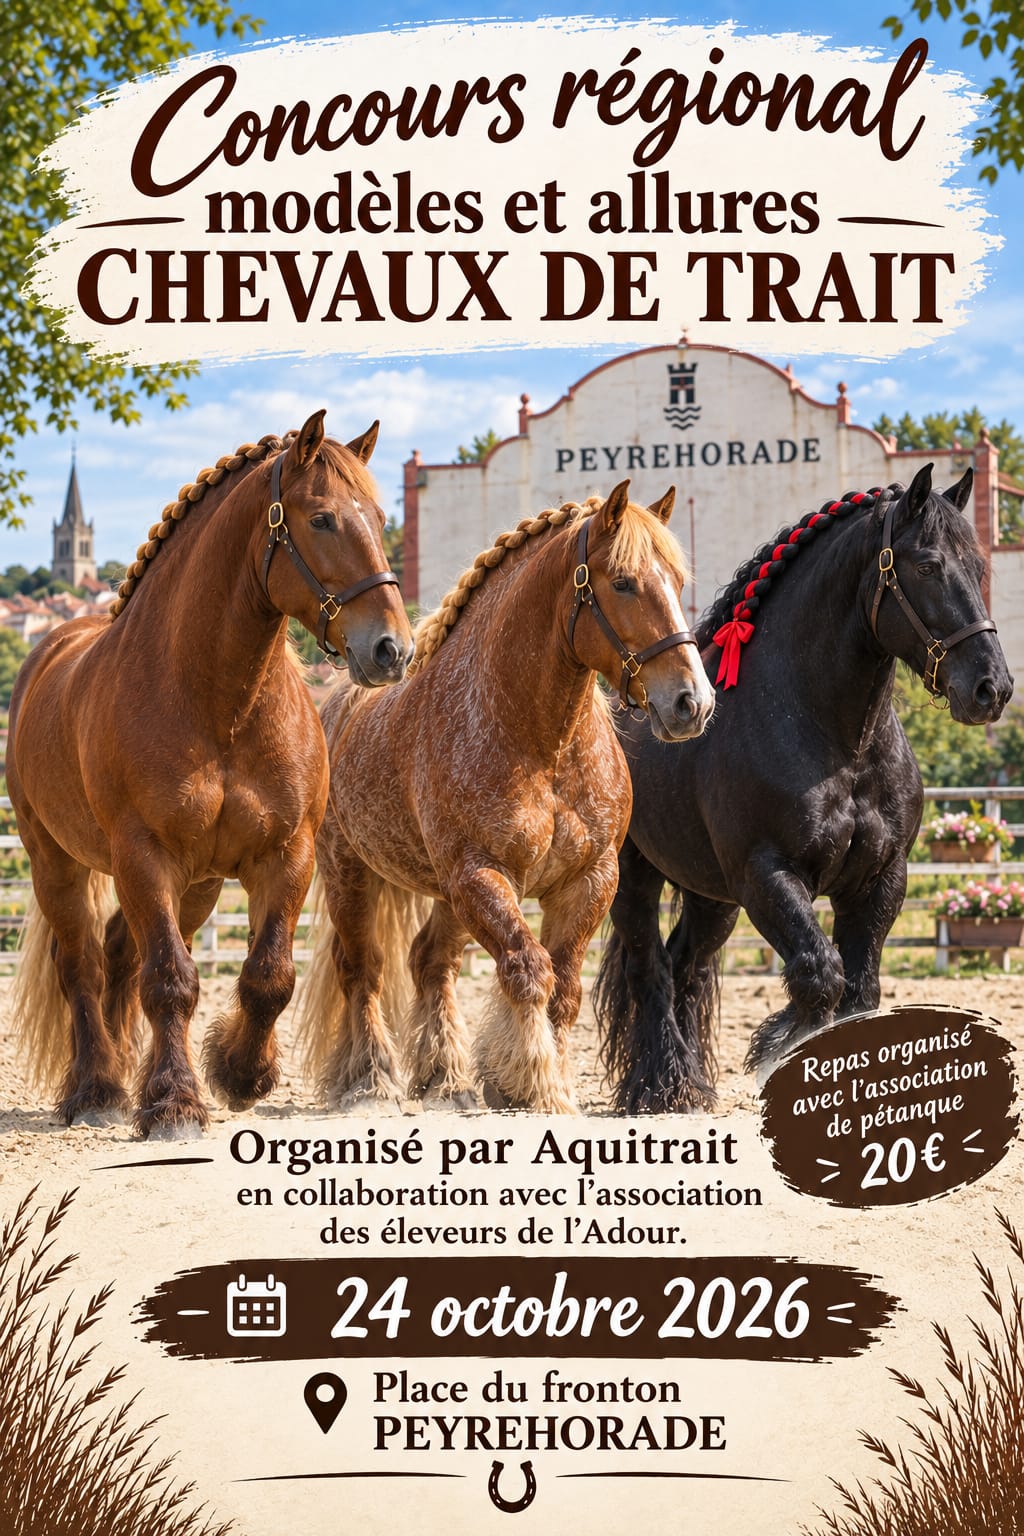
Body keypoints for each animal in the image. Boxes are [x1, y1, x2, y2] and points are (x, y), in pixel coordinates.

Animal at [8, 410, 413, 1136]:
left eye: (377, 514)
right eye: (321, 519)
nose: (393, 649)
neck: (219, 704)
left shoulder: (286, 856)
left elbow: (268, 976)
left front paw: (239, 1072)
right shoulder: (145, 857)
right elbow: (171, 980)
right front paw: (174, 1102)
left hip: (195, 886)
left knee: (120, 954)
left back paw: (124, 1075)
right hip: (55, 860)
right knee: (81, 965)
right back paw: (95, 1088)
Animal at [298, 481, 715, 1113]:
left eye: (678, 581)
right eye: (622, 582)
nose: (693, 702)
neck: (541, 741)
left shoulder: (588, 881)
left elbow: (564, 988)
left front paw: (536, 1082)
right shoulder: (483, 875)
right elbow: (528, 970)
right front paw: (536, 1083)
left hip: (444, 894)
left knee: (430, 961)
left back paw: (443, 1077)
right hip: (351, 872)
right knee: (363, 969)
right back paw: (370, 1081)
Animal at [594, 465, 1014, 1113]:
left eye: (979, 567)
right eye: (926, 566)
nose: (991, 688)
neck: (837, 742)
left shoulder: (880, 880)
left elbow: (860, 989)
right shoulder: (768, 875)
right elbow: (820, 975)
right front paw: (776, 1044)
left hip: (712, 897)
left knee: (688, 965)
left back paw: (692, 1085)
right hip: (636, 880)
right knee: (651, 969)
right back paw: (658, 1089)